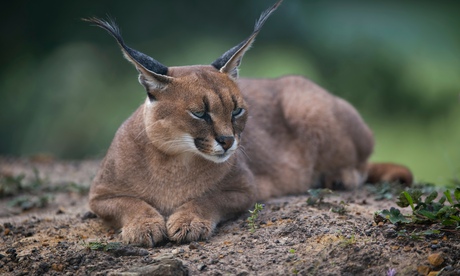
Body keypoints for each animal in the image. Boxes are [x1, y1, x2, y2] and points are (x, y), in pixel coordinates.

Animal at [83, 0, 414, 246]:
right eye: (200, 113)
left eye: (237, 110)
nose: (228, 141)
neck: (173, 159)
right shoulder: (99, 195)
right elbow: (130, 203)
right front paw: (144, 225)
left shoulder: (245, 189)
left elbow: (209, 198)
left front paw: (189, 220)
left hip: (308, 105)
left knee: (362, 164)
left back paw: (337, 177)